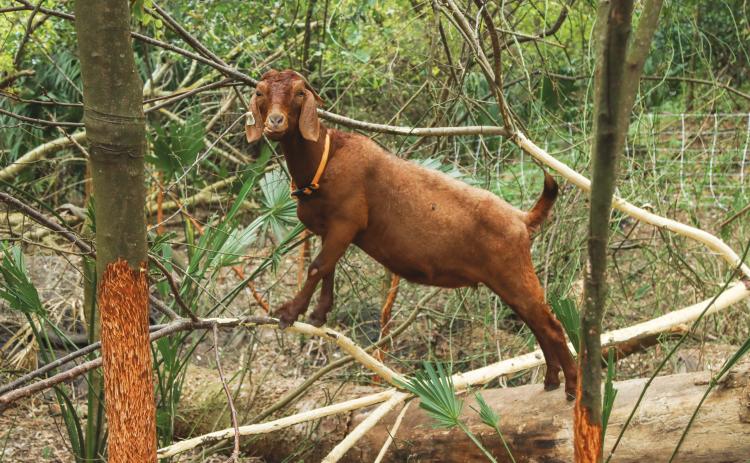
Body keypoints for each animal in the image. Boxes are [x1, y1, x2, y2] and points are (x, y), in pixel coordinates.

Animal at [246, 69, 577, 398]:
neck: (326, 160)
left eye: (300, 93)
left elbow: (317, 267)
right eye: (260, 92)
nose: (275, 122)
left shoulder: (347, 221)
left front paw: (289, 313)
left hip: (514, 272)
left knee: (551, 326)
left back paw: (572, 388)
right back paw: (551, 380)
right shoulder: (333, 230)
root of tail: (521, 219)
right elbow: (328, 269)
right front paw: (318, 314)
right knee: (537, 324)